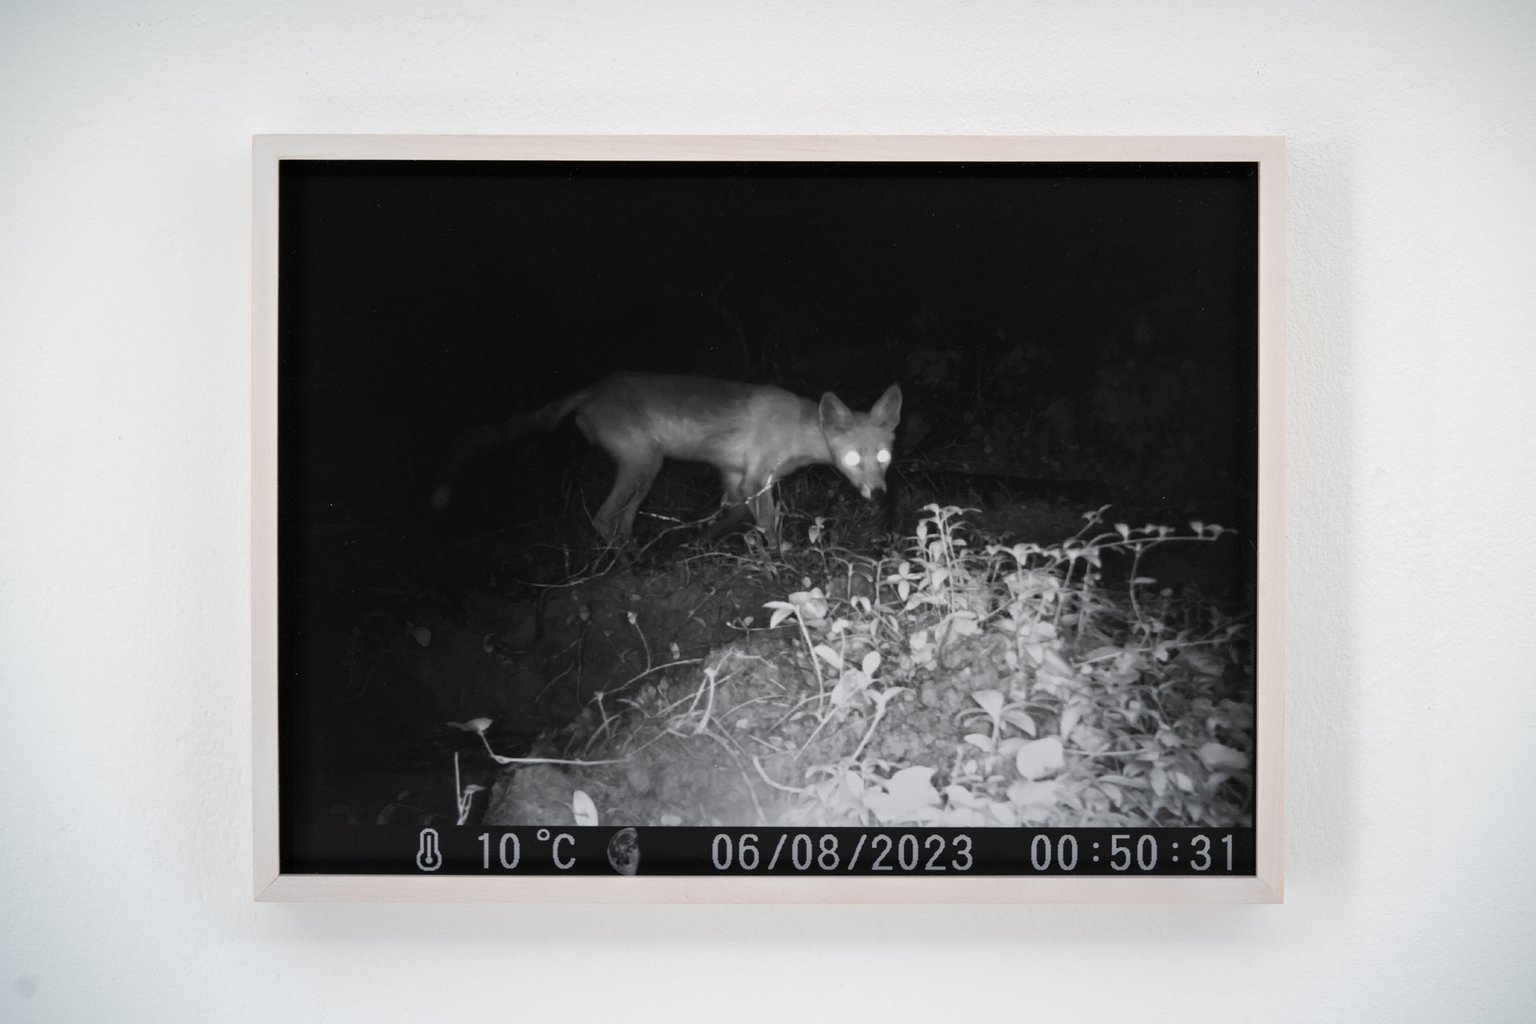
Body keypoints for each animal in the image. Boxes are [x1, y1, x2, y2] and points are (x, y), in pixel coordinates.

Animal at [431, 372, 902, 547]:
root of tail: (592, 389)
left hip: (644, 473)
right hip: (643, 464)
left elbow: (734, 516)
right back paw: (624, 567)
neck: (797, 430)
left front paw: (709, 544)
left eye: (883, 455)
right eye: (852, 458)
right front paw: (779, 563)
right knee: (603, 519)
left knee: (620, 522)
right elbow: (767, 524)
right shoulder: (756, 477)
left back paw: (636, 558)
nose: (879, 495)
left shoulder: (735, 475)